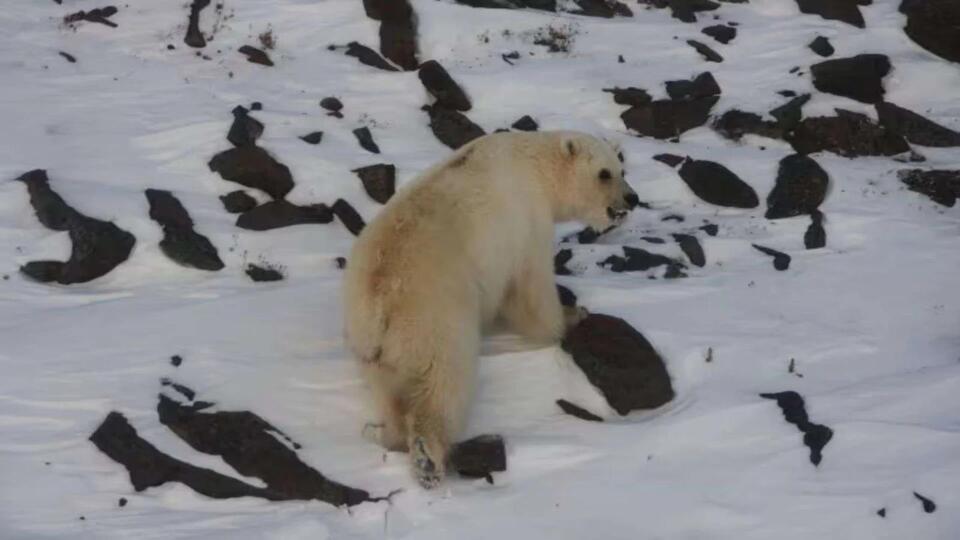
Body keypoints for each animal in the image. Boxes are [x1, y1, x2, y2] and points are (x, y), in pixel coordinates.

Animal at [342, 130, 640, 488]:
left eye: (621, 169)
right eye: (604, 173)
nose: (632, 199)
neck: (535, 165)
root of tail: (378, 303)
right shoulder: (526, 222)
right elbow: (531, 288)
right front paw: (571, 315)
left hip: (373, 347)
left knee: (387, 390)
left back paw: (382, 432)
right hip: (434, 317)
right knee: (444, 380)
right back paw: (428, 458)